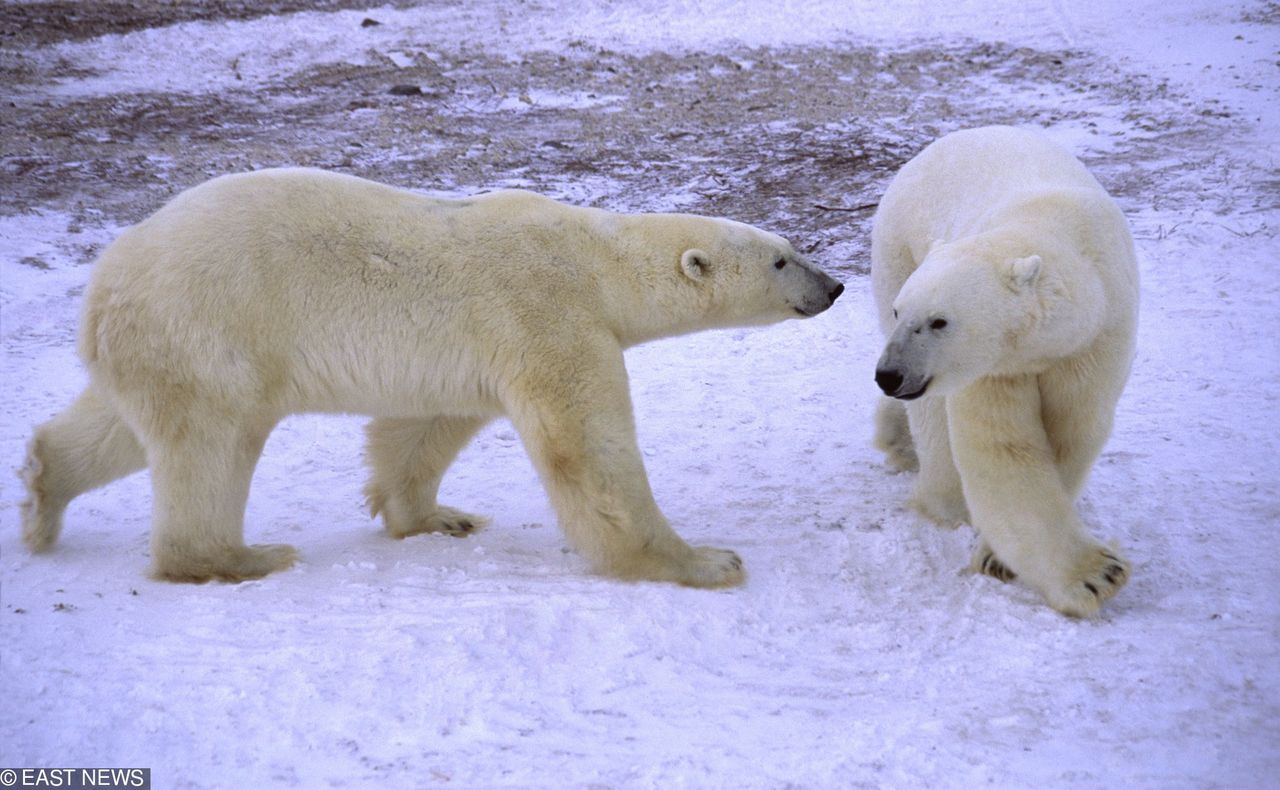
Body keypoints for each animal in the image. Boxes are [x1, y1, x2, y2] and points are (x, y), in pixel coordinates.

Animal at [24, 166, 844, 586]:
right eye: (781, 258)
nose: (833, 285)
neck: (593, 258)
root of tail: (102, 284)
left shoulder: (473, 348)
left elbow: (424, 427)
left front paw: (436, 516)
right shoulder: (546, 316)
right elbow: (588, 450)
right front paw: (705, 559)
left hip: (159, 344)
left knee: (121, 428)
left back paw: (42, 491)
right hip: (213, 329)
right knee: (211, 447)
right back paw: (240, 556)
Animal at [870, 124, 1141, 617]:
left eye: (939, 321)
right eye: (903, 312)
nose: (890, 375)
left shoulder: (1094, 339)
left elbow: (1072, 429)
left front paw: (1001, 558)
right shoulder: (995, 367)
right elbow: (1004, 446)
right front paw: (1096, 576)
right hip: (898, 248)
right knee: (932, 419)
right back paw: (940, 494)